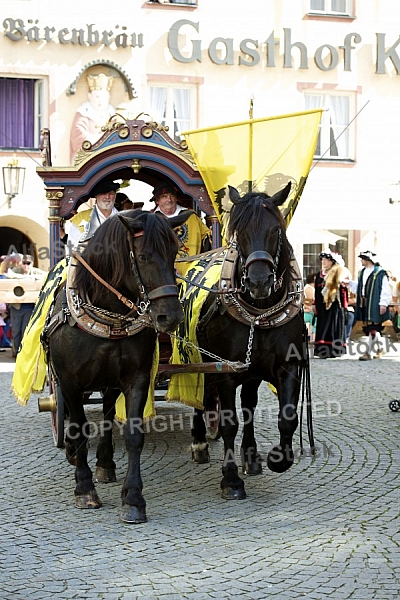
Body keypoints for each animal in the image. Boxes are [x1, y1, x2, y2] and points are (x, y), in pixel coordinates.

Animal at [48, 211, 183, 520]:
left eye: (174, 253)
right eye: (143, 256)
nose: (170, 317)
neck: (108, 315)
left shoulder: (137, 379)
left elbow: (133, 435)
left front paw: (133, 499)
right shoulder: (70, 382)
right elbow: (78, 429)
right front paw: (84, 489)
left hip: (110, 381)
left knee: (109, 415)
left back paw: (105, 463)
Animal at [191, 185, 312, 500]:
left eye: (276, 231)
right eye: (239, 231)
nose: (259, 282)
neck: (260, 312)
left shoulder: (287, 366)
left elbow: (287, 416)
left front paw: (278, 459)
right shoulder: (225, 370)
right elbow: (229, 422)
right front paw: (231, 479)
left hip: (252, 370)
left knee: (248, 403)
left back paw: (250, 455)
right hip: (197, 359)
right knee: (198, 396)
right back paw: (199, 442)